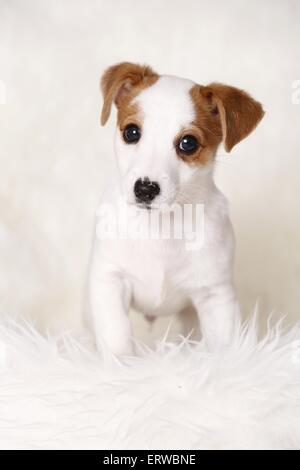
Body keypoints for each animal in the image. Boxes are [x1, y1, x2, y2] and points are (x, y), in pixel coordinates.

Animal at [85, 63, 264, 356]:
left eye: (188, 143)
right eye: (131, 132)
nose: (145, 189)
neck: (161, 226)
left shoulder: (215, 295)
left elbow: (225, 345)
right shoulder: (109, 281)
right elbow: (116, 336)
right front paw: (120, 365)